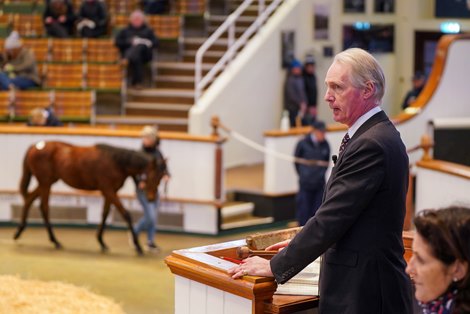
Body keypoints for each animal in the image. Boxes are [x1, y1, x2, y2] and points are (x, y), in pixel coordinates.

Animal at [14, 141, 167, 254]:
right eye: (153, 176)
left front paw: (101, 242)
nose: (151, 198)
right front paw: (138, 246)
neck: (116, 162)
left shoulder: (109, 192)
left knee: (29, 199)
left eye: (161, 178)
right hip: (45, 183)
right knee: (44, 207)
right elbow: (126, 214)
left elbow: (105, 214)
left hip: (47, 182)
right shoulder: (109, 190)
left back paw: (19, 232)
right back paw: (54, 241)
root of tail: (35, 146)